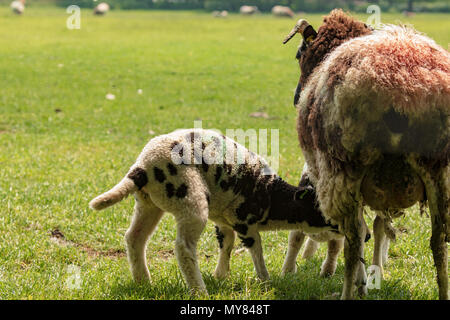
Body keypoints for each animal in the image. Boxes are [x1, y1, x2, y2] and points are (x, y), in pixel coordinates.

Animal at [88, 129, 342, 294]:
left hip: (148, 202)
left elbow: (226, 243)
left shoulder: (223, 219)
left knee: (135, 238)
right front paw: (265, 280)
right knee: (184, 248)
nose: (352, 232)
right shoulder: (245, 222)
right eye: (326, 213)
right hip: (190, 199)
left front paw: (221, 275)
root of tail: (142, 167)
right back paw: (199, 291)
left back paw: (143, 282)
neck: (272, 196)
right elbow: (256, 250)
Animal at [284, 10, 450, 300]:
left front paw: (362, 283)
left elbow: (363, 232)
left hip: (345, 168)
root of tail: (405, 91)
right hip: (438, 170)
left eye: (298, 54)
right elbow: (377, 227)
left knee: (352, 240)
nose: (296, 97)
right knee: (439, 240)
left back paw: (347, 292)